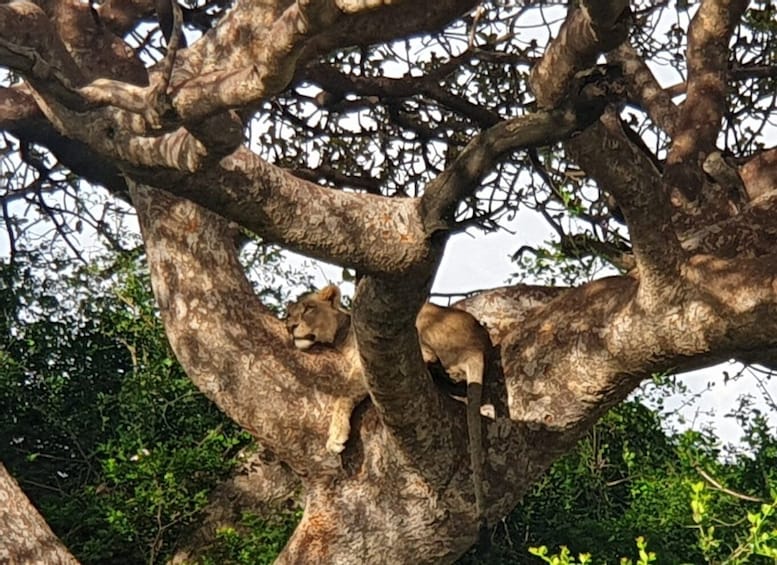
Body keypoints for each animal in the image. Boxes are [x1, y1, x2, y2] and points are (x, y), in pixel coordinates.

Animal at [284, 284, 492, 528]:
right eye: (289, 314)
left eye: (309, 308)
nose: (290, 327)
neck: (341, 334)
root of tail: (478, 346)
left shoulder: (365, 361)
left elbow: (343, 395)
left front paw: (336, 436)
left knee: (430, 358)